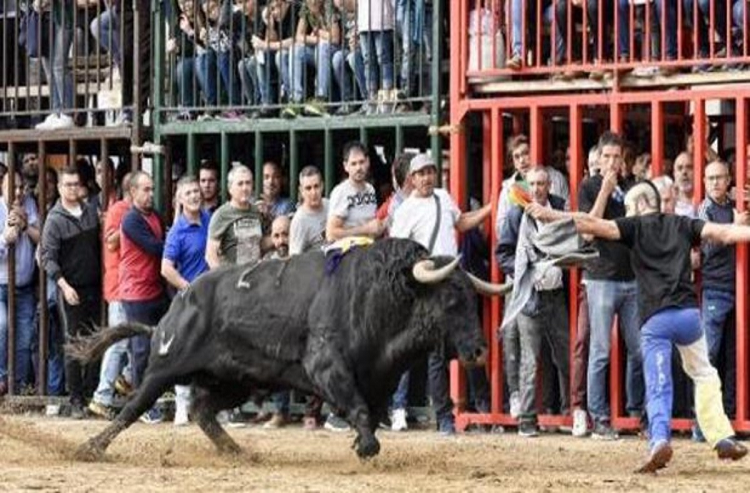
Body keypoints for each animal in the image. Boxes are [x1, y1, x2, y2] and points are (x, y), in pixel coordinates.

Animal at [67, 238, 512, 462]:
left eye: (472, 299)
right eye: (450, 299)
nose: (478, 351)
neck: (384, 295)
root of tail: (173, 311)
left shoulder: (380, 378)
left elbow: (369, 411)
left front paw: (361, 442)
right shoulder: (327, 365)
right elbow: (357, 408)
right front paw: (365, 446)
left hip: (237, 382)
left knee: (204, 411)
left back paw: (238, 451)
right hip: (165, 367)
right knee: (132, 408)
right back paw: (91, 447)